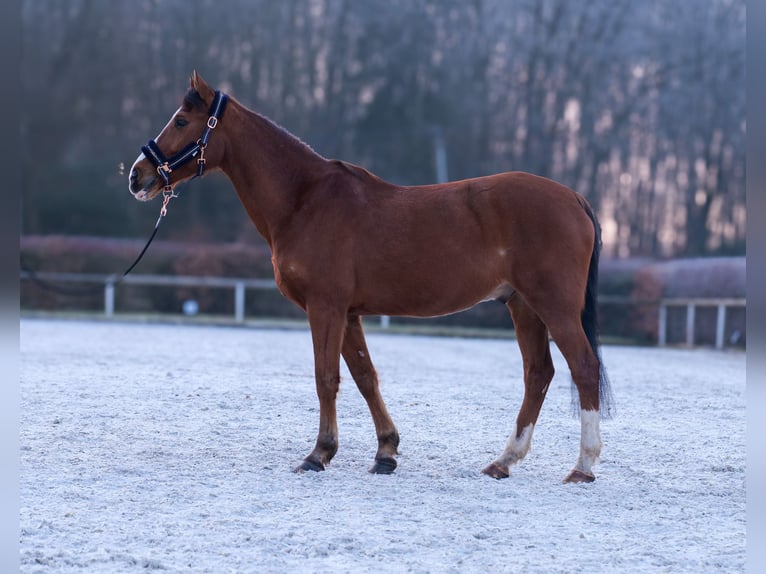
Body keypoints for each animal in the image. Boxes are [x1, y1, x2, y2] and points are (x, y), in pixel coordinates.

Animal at [129, 72, 616, 486]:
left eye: (181, 120)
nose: (137, 174)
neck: (304, 199)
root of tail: (572, 197)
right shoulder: (348, 313)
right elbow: (365, 377)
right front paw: (386, 452)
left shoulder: (325, 307)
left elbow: (326, 377)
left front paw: (318, 454)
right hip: (523, 306)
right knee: (539, 373)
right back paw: (504, 461)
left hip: (553, 306)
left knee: (583, 367)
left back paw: (583, 466)